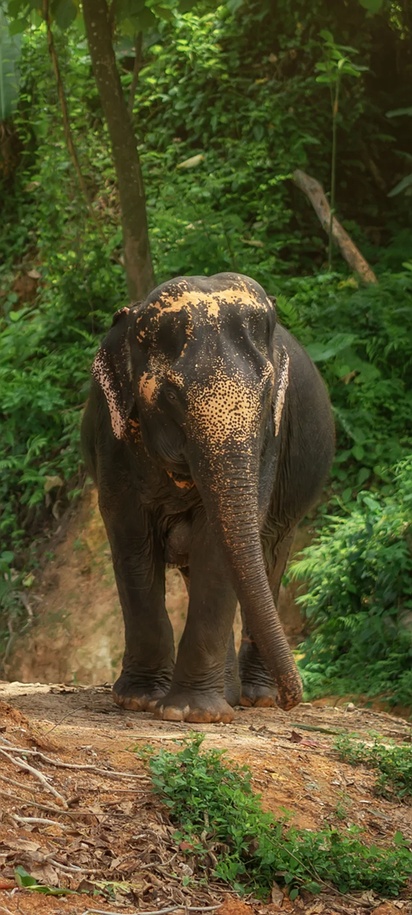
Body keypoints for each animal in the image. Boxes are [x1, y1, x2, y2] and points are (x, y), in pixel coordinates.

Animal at [81, 272, 334, 724]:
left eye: (266, 392)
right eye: (172, 396)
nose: (295, 698)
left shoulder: (269, 441)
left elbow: (217, 548)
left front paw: (193, 714)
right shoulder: (111, 437)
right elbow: (132, 541)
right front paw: (139, 701)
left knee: (269, 557)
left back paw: (255, 697)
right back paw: (233, 695)